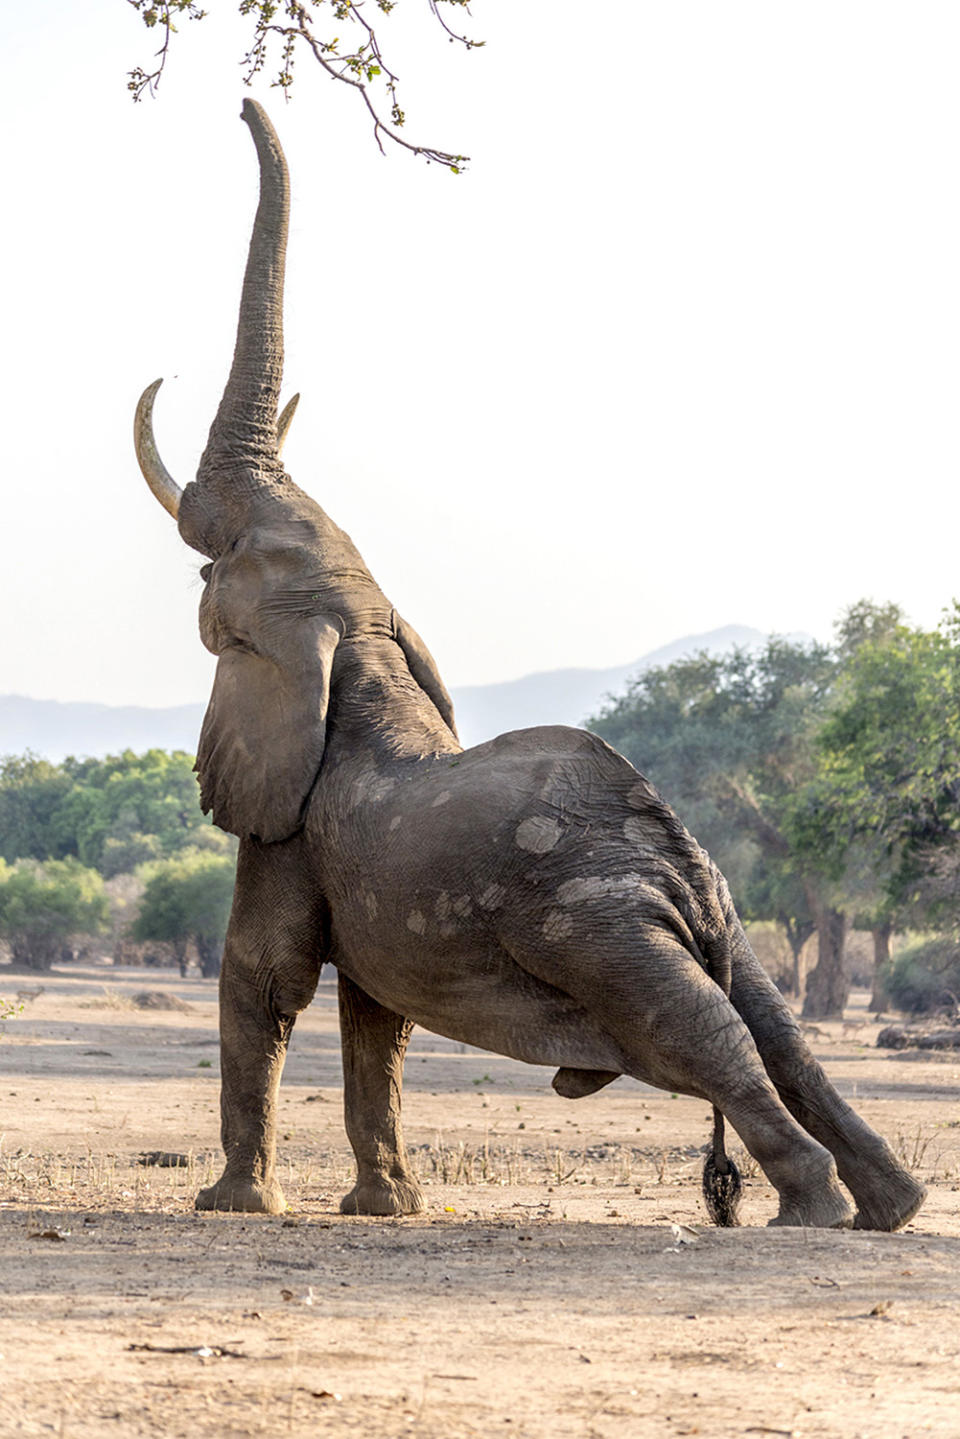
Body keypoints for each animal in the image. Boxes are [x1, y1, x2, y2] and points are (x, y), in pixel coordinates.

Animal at [133, 98, 921, 1237]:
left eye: (218, 563)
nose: (238, 103)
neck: (362, 642)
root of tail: (681, 868)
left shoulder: (290, 822)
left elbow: (266, 974)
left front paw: (231, 1204)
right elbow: (374, 1011)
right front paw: (382, 1207)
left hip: (598, 924)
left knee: (699, 1032)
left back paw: (810, 1208)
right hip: (709, 908)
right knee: (772, 1026)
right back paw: (888, 1207)